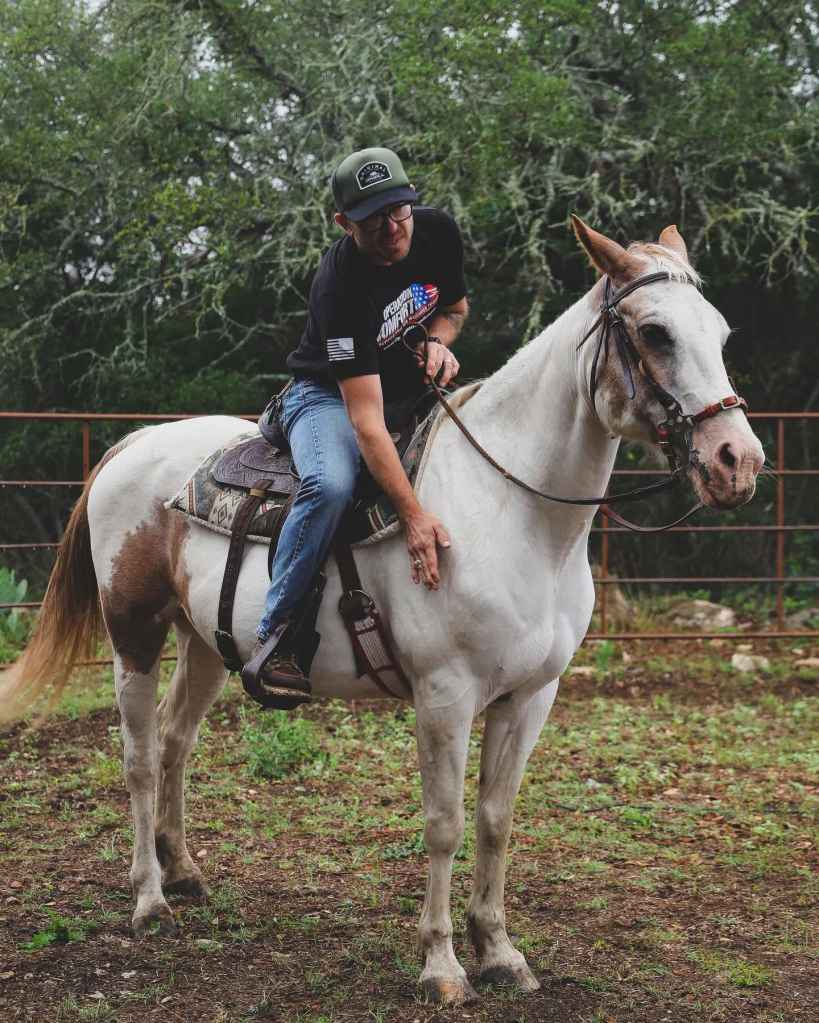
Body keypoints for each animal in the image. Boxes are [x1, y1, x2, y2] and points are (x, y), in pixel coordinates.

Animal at [0, 218, 764, 1006]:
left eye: (719, 331)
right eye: (654, 332)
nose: (737, 460)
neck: (511, 508)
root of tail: (132, 443)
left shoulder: (531, 696)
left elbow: (495, 819)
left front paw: (500, 952)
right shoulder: (444, 696)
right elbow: (444, 823)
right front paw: (442, 966)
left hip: (207, 643)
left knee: (177, 740)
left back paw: (184, 873)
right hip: (135, 635)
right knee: (140, 756)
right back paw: (150, 899)